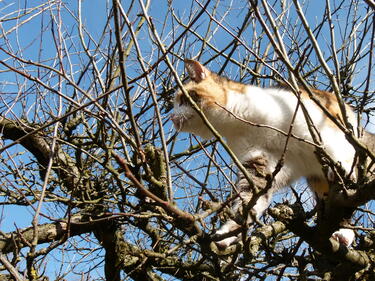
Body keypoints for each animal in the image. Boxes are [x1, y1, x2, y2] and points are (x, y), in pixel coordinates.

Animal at [171, 58, 364, 247]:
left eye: (182, 99)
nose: (171, 117)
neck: (240, 123)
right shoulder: (262, 162)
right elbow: (250, 200)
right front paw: (227, 235)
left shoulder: (319, 128)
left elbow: (335, 148)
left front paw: (345, 169)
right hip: (317, 181)